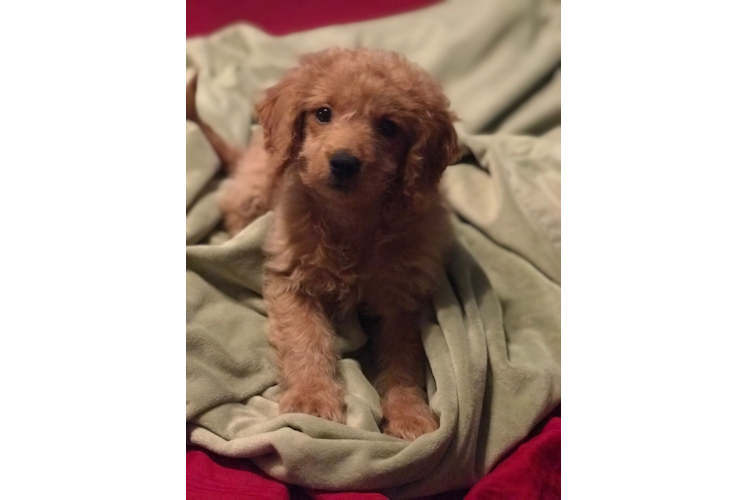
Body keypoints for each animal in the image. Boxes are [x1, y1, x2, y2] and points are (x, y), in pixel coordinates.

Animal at [190, 47, 458, 438]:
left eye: (388, 127)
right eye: (323, 113)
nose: (344, 162)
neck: (350, 221)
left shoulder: (400, 298)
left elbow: (403, 359)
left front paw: (409, 414)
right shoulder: (291, 280)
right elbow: (305, 340)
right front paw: (311, 399)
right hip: (254, 188)